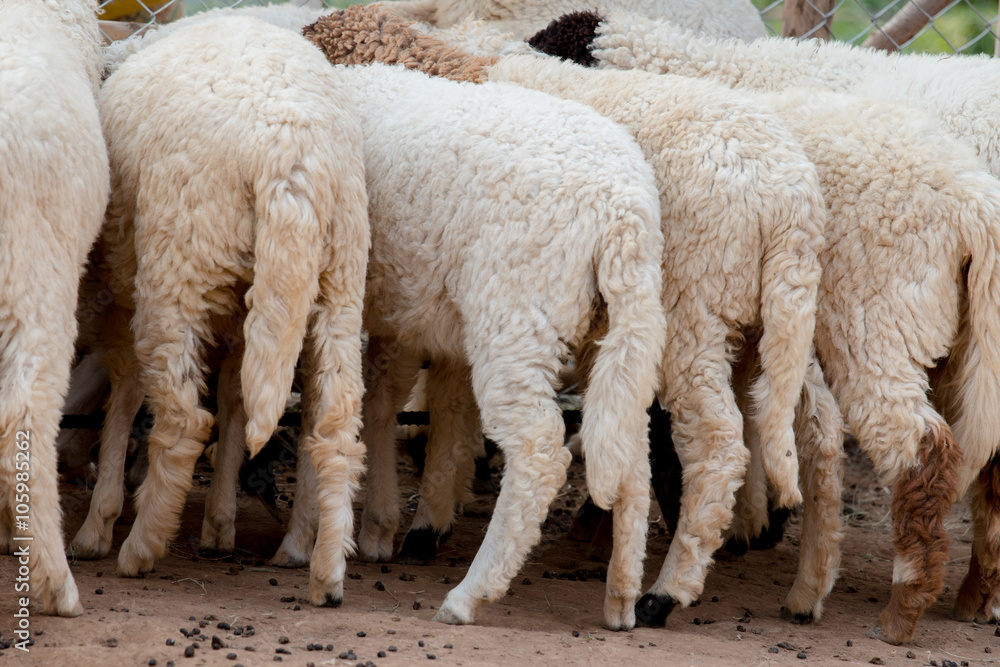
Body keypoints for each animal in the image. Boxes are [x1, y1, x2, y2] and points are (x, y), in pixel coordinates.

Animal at [92, 15, 370, 612]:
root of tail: (290, 153)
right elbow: (237, 397)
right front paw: (220, 524)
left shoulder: (119, 288)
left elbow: (124, 391)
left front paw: (97, 524)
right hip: (337, 278)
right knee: (336, 428)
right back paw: (327, 574)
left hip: (176, 267)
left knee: (184, 421)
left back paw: (141, 547)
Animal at [304, 3, 844, 620]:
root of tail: (789, 199)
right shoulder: (442, 305)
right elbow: (436, 402)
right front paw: (426, 514)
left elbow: (394, 399)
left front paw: (392, 526)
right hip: (771, 320)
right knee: (809, 432)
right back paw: (782, 586)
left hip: (668, 314)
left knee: (692, 444)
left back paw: (648, 590)